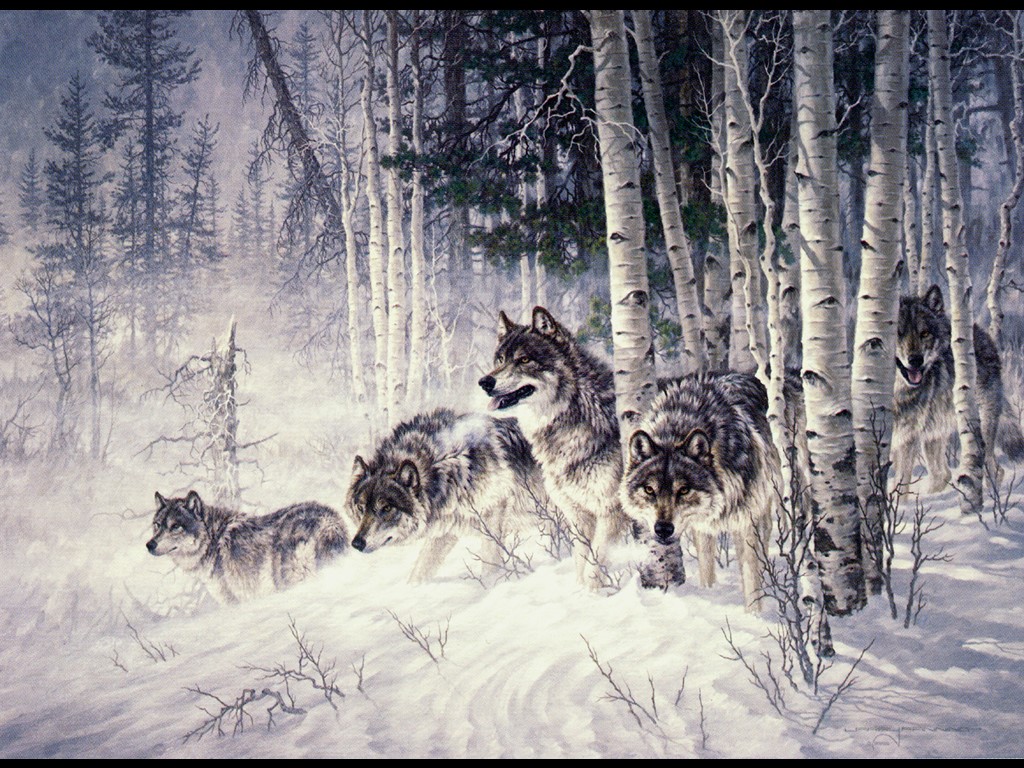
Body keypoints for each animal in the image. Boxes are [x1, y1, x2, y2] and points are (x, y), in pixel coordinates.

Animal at [146, 491, 348, 604]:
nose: (149, 545)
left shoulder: (232, 601)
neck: (212, 540)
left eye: (175, 526)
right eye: (157, 525)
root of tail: (327, 522)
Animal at [347, 408, 544, 582]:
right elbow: (420, 571)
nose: (356, 544)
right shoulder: (446, 530)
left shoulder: (494, 513)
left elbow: (490, 566)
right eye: (361, 508)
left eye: (386, 508)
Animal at [478, 307, 633, 590]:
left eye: (524, 360)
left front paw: (593, 595)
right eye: (500, 359)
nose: (485, 382)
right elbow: (582, 562)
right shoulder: (579, 516)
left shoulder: (612, 512)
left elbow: (594, 565)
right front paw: (580, 593)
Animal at [619, 372, 780, 611]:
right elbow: (706, 570)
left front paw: (754, 615)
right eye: (649, 490)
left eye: (684, 490)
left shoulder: (747, 521)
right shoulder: (702, 526)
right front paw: (709, 594)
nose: (663, 529)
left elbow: (752, 577)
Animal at [892, 284, 1024, 493]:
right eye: (898, 333)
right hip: (934, 433)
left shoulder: (906, 439)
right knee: (942, 474)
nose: (916, 360)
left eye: (924, 333)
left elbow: (899, 487)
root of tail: (980, 333)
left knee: (994, 469)